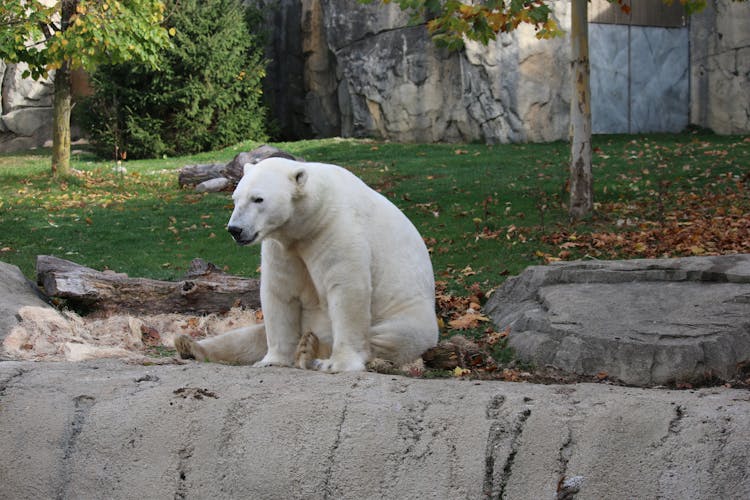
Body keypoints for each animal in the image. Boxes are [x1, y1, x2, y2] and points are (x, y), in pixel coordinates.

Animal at [173, 158, 438, 374]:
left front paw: (337, 363)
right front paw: (273, 360)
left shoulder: (336, 229)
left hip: (410, 316)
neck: (310, 218)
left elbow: (347, 289)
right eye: (235, 199)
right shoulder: (283, 246)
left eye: (258, 199)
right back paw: (188, 345)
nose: (235, 229)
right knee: (248, 337)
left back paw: (311, 349)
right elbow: (279, 292)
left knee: (390, 337)